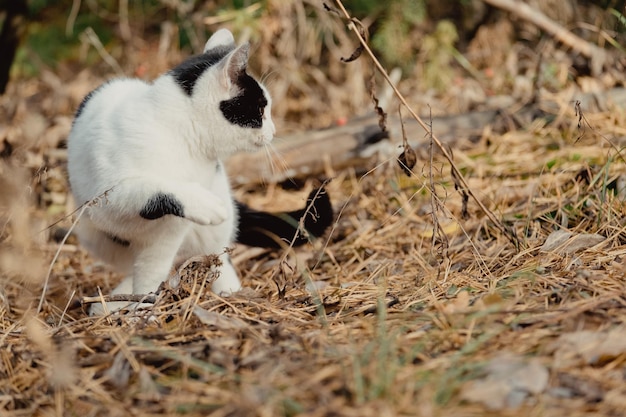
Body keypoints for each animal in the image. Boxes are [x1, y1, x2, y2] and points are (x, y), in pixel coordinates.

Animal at [66, 29, 332, 314]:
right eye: (261, 109)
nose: (273, 131)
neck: (183, 138)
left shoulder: (168, 230)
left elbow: (153, 268)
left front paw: (143, 309)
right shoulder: (107, 199)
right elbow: (153, 188)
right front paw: (142, 309)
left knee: (215, 256)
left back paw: (230, 293)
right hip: (95, 235)